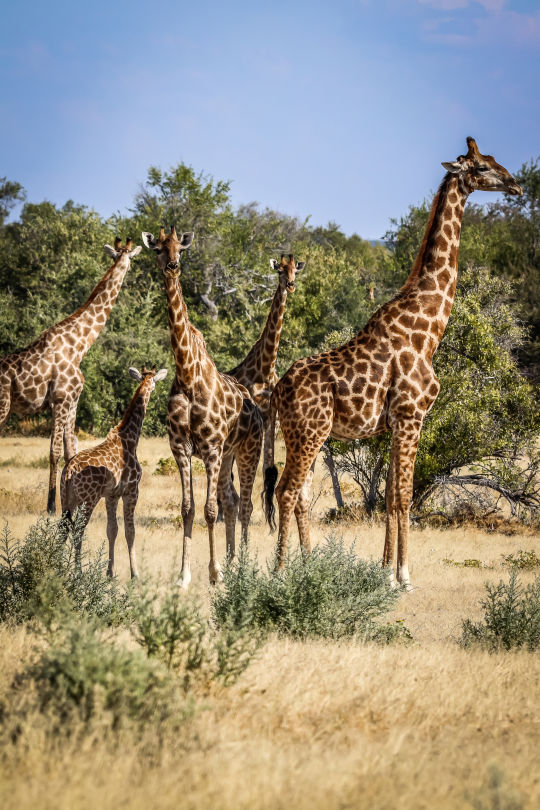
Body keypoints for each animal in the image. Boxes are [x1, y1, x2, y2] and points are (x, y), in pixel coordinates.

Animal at [0, 237, 141, 512]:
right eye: (129, 258)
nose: (130, 270)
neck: (79, 345)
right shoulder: (61, 400)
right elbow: (54, 451)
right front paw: (51, 506)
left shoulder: (73, 400)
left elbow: (69, 450)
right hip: (2, 406)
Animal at [60, 362, 169, 576]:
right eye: (153, 382)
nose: (152, 389)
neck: (130, 438)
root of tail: (69, 471)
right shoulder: (132, 490)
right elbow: (130, 531)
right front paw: (135, 573)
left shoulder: (111, 495)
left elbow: (112, 530)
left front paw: (109, 573)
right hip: (88, 499)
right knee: (78, 531)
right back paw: (78, 573)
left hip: (66, 499)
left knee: (63, 530)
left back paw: (55, 567)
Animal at [141, 224, 264, 584]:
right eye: (158, 249)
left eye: (181, 249)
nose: (172, 266)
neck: (187, 373)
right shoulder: (181, 447)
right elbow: (188, 509)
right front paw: (184, 575)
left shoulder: (209, 448)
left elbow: (210, 511)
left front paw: (214, 572)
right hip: (228, 454)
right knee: (232, 500)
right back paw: (234, 561)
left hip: (249, 449)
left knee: (246, 504)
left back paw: (243, 565)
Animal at [264, 136, 520, 584]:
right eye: (482, 167)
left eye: (493, 161)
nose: (517, 185)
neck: (428, 329)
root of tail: (278, 390)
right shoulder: (412, 415)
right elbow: (403, 495)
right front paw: (402, 575)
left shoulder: (398, 422)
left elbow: (387, 495)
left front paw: (385, 569)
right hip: (308, 433)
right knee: (287, 491)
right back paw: (281, 572)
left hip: (305, 436)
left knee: (300, 493)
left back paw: (308, 565)